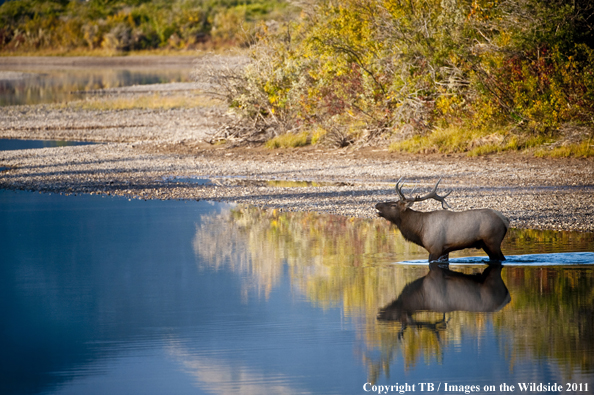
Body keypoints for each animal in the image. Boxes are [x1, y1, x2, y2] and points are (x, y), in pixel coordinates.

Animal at [376, 179, 506, 262]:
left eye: (393, 205)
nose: (377, 204)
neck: (419, 230)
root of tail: (506, 220)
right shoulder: (444, 251)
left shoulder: (435, 248)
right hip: (485, 244)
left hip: (493, 241)